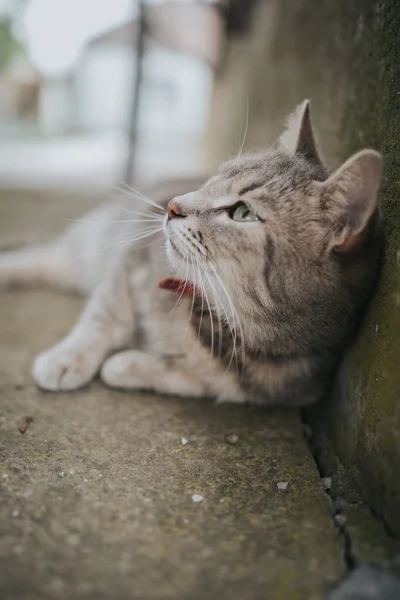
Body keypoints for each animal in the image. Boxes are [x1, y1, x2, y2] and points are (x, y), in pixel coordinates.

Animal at [0, 101, 382, 406]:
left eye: (243, 212)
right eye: (214, 178)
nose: (171, 205)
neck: (215, 313)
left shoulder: (278, 388)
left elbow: (197, 380)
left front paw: (128, 364)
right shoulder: (130, 264)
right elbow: (102, 319)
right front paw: (69, 358)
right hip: (84, 248)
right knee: (39, 256)